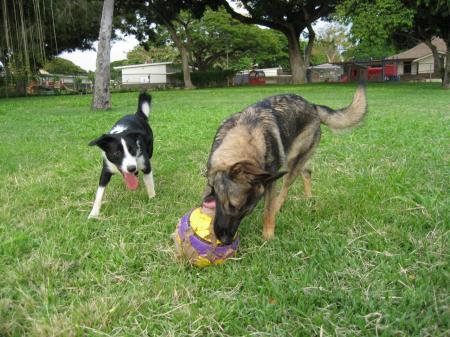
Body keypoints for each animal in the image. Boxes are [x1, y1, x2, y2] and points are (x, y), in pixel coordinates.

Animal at [204, 83, 366, 242]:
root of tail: (313, 105)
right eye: (231, 206)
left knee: (285, 187)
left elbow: (268, 212)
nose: (226, 241)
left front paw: (268, 237)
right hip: (300, 159)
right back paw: (308, 198)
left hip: (293, 161)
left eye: (246, 212)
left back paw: (279, 206)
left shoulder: (270, 183)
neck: (247, 133)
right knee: (307, 172)